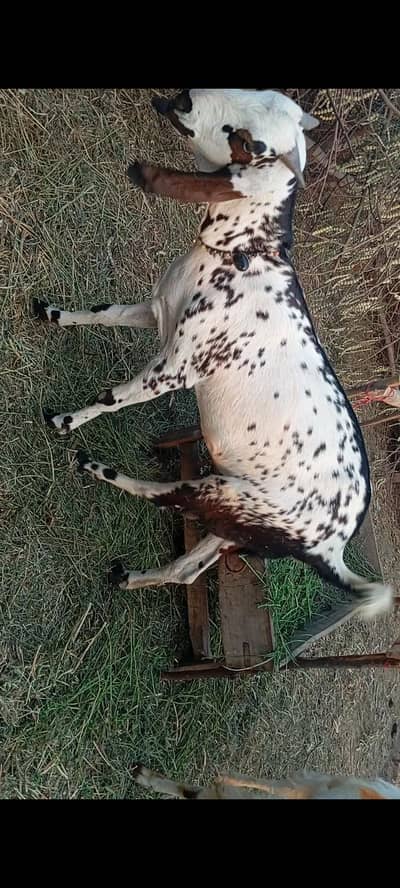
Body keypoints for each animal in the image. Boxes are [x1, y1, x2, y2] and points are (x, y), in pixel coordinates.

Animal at [33, 89, 392, 619]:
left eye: (246, 141)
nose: (181, 99)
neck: (245, 256)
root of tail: (333, 548)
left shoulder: (174, 369)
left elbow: (112, 397)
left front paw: (66, 420)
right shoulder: (156, 311)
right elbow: (101, 313)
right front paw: (55, 315)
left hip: (222, 493)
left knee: (164, 498)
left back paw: (97, 467)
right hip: (236, 527)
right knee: (186, 569)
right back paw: (129, 576)